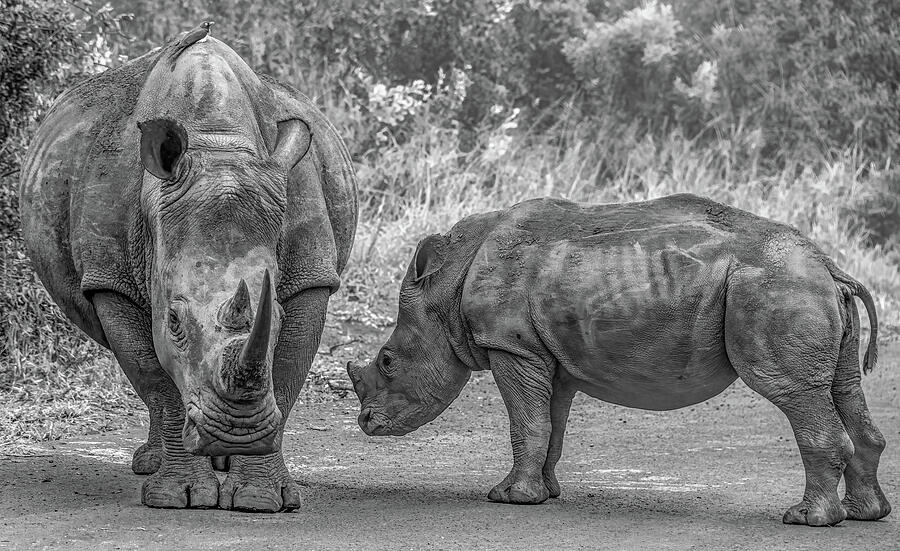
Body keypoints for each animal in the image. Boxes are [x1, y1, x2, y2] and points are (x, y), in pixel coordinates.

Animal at [19, 24, 357, 512]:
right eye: (174, 320)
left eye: (277, 316)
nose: (237, 433)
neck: (217, 147)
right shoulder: (110, 281)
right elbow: (156, 378)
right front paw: (176, 496)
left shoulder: (312, 274)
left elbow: (286, 375)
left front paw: (260, 498)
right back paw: (152, 463)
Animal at [347, 193, 891, 526]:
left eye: (388, 362)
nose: (367, 423)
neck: (447, 283)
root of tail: (829, 265)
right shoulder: (547, 354)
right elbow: (550, 424)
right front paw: (547, 493)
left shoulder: (510, 345)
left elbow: (526, 421)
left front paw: (509, 498)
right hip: (802, 288)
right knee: (842, 388)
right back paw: (864, 514)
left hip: (775, 287)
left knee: (794, 392)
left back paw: (806, 519)